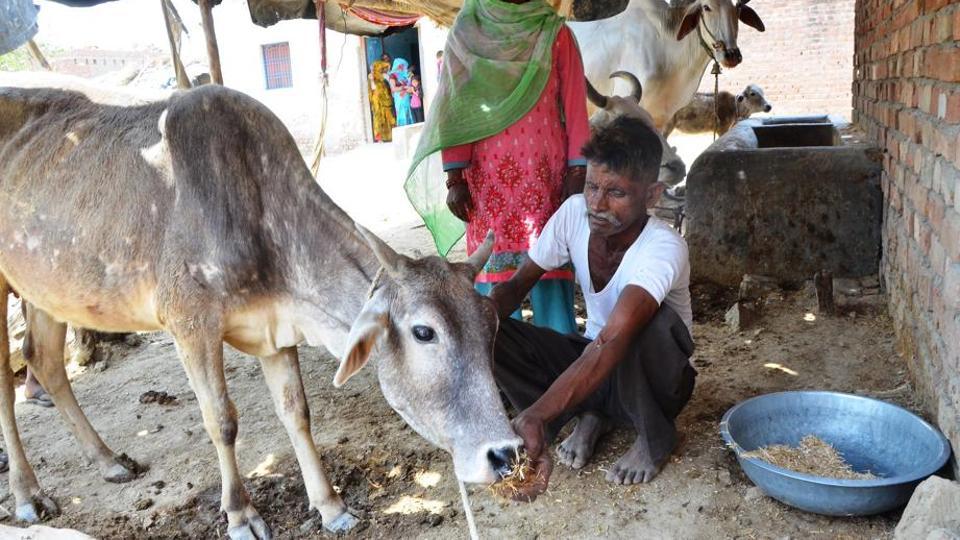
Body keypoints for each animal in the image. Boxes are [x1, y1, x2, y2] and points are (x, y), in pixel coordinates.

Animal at [0, 73, 521, 539]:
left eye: (492, 325)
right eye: (423, 331)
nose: (505, 454)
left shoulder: (275, 329)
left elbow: (296, 411)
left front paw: (331, 507)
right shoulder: (190, 323)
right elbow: (222, 420)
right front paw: (241, 516)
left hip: (45, 288)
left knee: (44, 360)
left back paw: (109, 462)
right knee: (9, 387)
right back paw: (28, 494)